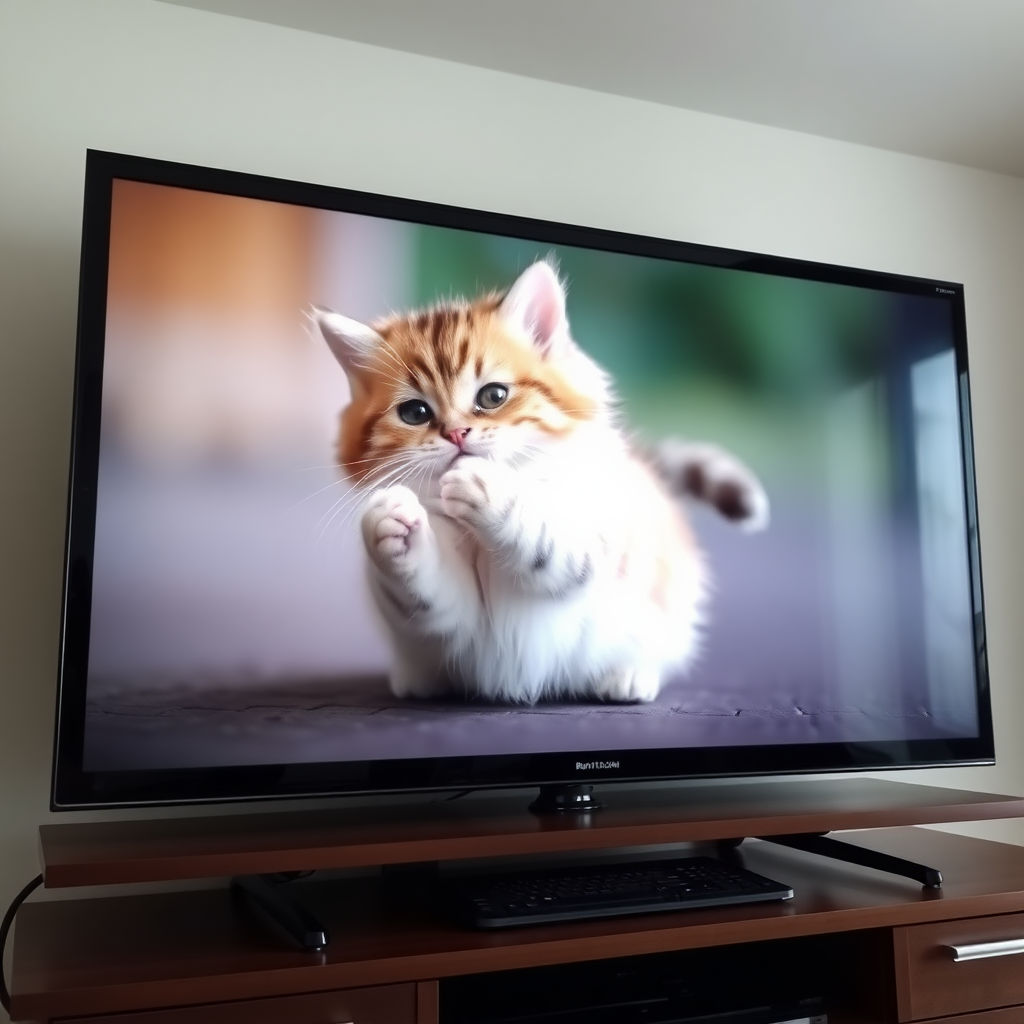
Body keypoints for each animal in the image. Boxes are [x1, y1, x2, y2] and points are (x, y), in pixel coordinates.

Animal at [315, 260, 765, 700]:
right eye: (414, 413)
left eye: (493, 396)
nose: (457, 434)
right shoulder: (440, 613)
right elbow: (427, 599)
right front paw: (389, 522)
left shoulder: (594, 535)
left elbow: (547, 537)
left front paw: (487, 490)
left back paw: (629, 674)